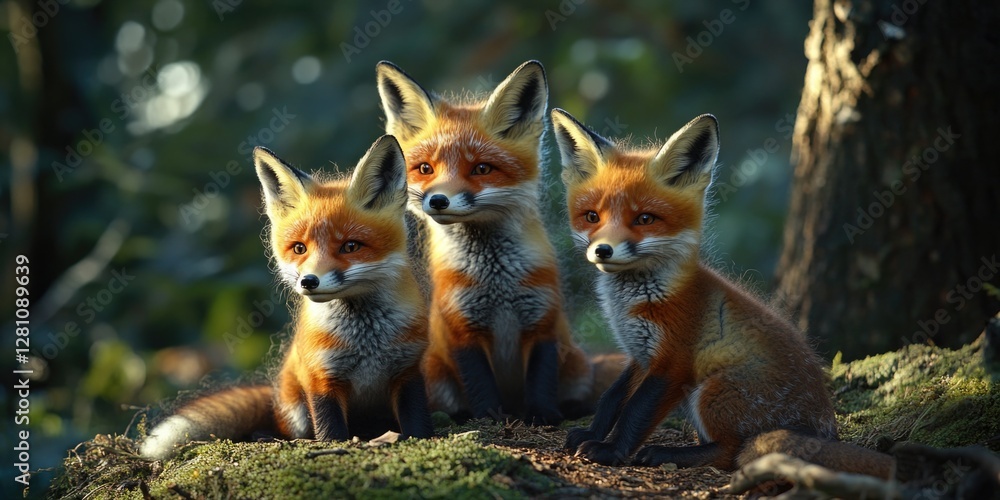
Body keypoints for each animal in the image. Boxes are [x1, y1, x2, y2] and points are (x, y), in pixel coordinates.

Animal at [140, 136, 433, 460]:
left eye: (350, 246)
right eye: (299, 248)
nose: (309, 281)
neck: (366, 339)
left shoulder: (408, 368)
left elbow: (417, 420)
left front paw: (418, 439)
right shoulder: (321, 377)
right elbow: (330, 430)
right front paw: (333, 449)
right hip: (295, 410)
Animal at [374, 60, 595, 425]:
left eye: (481, 169)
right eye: (425, 168)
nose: (438, 201)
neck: (495, 281)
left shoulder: (542, 320)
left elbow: (541, 376)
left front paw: (543, 414)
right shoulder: (461, 326)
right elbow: (478, 381)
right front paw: (489, 416)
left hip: (576, 364)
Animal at [550, 108, 894, 478]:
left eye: (644, 219)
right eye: (591, 217)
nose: (602, 251)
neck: (639, 298)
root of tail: (825, 429)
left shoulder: (673, 361)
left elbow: (634, 413)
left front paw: (610, 451)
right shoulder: (641, 356)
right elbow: (611, 400)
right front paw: (592, 433)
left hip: (713, 388)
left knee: (732, 452)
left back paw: (668, 453)